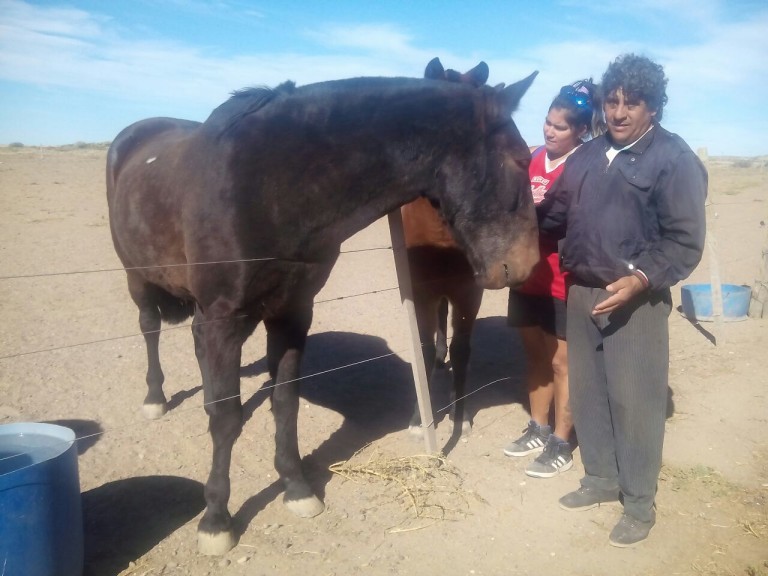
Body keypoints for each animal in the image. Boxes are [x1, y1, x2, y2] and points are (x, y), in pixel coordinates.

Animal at [402, 58, 498, 436]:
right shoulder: (421, 293)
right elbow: (423, 348)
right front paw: (420, 419)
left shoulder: (469, 293)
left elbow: (462, 350)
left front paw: (461, 415)